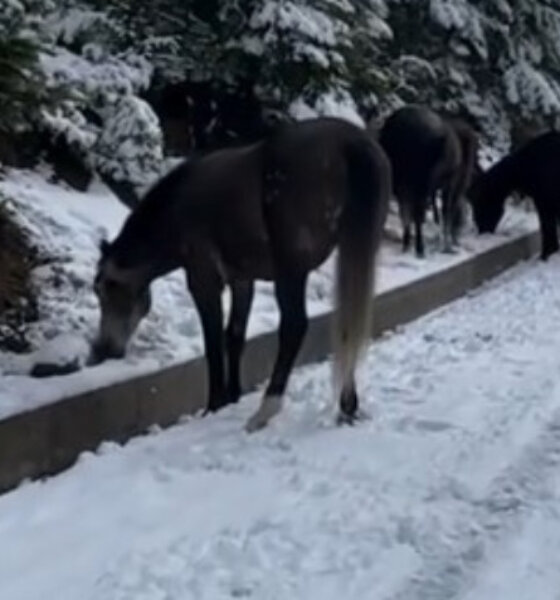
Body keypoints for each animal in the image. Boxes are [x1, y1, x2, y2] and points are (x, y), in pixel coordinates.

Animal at [89, 117, 392, 434]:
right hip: (356, 249)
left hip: (291, 268)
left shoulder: (203, 280)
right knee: (350, 320)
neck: (178, 211)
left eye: (105, 287)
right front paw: (232, 397)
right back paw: (347, 406)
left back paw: (266, 410)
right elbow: (234, 335)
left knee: (295, 326)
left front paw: (214, 405)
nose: (103, 348)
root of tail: (351, 142)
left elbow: (212, 342)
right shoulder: (242, 280)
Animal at [378, 106, 474, 256]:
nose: (458, 239)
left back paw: (408, 244)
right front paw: (445, 244)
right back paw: (420, 248)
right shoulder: (450, 183)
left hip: (401, 180)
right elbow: (445, 211)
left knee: (406, 212)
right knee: (418, 212)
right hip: (421, 182)